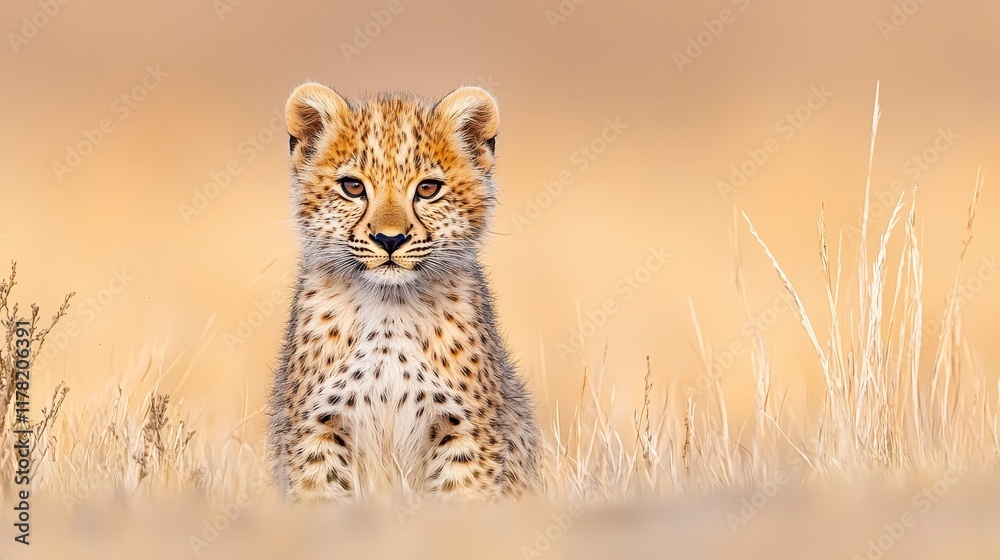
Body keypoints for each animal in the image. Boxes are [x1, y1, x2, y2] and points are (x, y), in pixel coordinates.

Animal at [266, 82, 542, 502]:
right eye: (353, 187)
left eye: (427, 189)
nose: (390, 239)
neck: (389, 311)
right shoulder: (316, 433)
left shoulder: (468, 434)